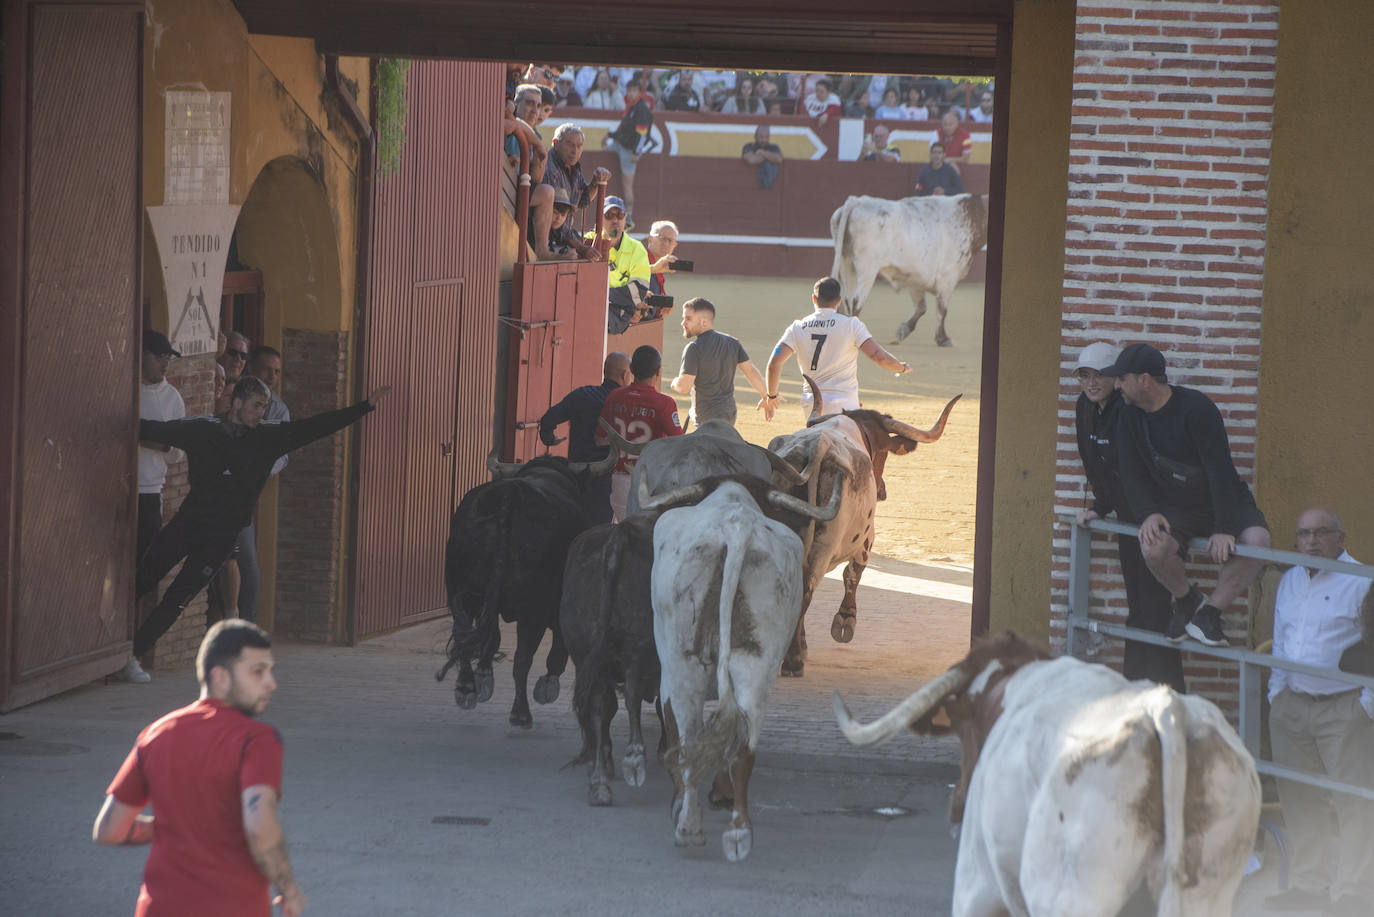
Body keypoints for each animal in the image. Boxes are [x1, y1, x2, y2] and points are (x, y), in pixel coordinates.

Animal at [436, 456, 610, 725]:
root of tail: (511, 494)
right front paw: (547, 685)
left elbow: (491, 636)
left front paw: (483, 677)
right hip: (533, 608)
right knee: (522, 657)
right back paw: (521, 712)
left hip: (459, 588)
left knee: (463, 631)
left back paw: (466, 688)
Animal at [769, 379, 961, 673]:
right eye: (883, 451)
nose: (882, 491)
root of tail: (815, 449)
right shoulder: (867, 539)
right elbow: (853, 573)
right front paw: (845, 621)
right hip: (825, 546)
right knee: (806, 587)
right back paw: (793, 659)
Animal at [824, 192, 989, 346]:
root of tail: (857, 201)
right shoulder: (948, 276)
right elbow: (942, 309)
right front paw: (943, 339)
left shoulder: (915, 277)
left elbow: (921, 307)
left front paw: (904, 330)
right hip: (867, 268)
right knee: (856, 302)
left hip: (847, 265)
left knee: (848, 300)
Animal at [829, 635, 1258, 912]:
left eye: (962, 729)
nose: (955, 807)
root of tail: (1166, 709)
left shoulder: (976, 882)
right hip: (1207, 891)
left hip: (1069, 893)